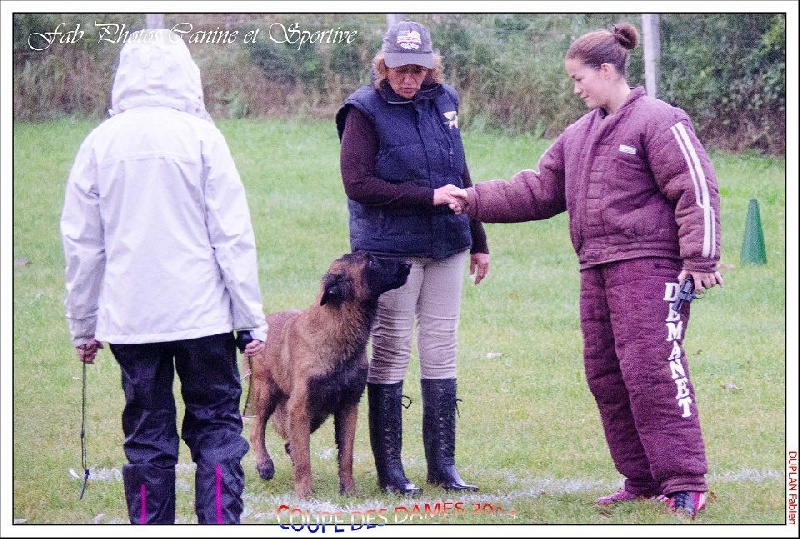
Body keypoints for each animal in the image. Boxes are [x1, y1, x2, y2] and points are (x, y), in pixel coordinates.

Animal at [244, 252, 410, 498]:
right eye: (371, 261)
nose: (409, 263)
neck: (336, 333)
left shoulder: (348, 407)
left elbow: (346, 456)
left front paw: (349, 492)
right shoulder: (300, 407)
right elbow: (304, 457)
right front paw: (305, 495)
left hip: (316, 414)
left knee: (289, 445)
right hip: (268, 394)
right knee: (257, 430)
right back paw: (265, 465)